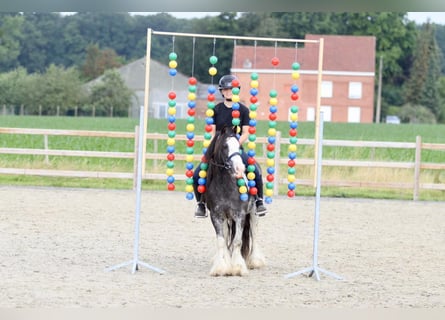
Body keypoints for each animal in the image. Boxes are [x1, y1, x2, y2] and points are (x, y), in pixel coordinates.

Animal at [201, 125, 264, 276]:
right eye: (225, 146)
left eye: (239, 146)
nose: (240, 168)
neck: (224, 184)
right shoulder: (216, 216)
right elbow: (221, 241)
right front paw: (221, 267)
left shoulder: (240, 215)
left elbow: (237, 241)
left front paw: (238, 268)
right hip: (225, 219)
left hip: (253, 214)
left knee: (254, 234)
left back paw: (255, 261)